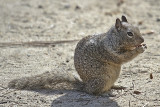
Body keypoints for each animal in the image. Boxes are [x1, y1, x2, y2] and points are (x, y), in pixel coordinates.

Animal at [8, 15, 147, 95]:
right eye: (129, 34)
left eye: (138, 28)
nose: (143, 40)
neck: (112, 39)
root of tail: (85, 86)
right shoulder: (109, 51)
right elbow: (123, 57)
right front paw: (139, 49)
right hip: (102, 80)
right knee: (94, 92)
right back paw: (107, 93)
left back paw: (118, 86)